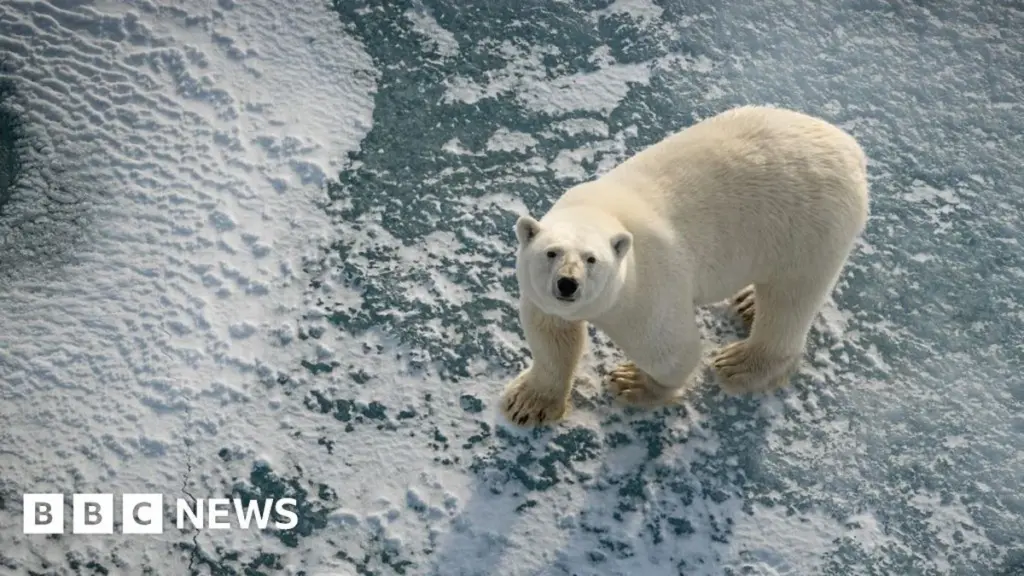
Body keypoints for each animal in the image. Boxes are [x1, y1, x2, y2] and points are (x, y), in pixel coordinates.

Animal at [500, 105, 869, 427]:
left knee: (790, 299)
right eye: (551, 253)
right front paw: (526, 404)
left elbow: (671, 350)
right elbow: (552, 335)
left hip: (807, 228)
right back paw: (748, 301)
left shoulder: (647, 285)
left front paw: (633, 382)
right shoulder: (545, 298)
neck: (601, 211)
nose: (567, 284)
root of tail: (851, 148)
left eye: (592, 259)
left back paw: (740, 363)